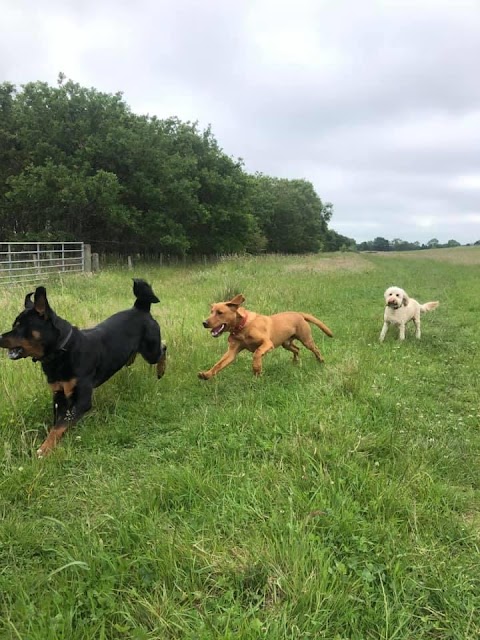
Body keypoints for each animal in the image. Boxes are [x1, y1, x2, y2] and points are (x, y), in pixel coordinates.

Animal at [0, 278, 167, 456]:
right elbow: (58, 423)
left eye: (19, 326)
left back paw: (161, 371)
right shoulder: (58, 395)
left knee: (163, 348)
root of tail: (140, 307)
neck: (61, 352)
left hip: (151, 351)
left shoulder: (82, 399)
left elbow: (59, 426)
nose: (0, 337)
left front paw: (44, 449)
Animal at [199, 296, 334, 380]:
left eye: (220, 312)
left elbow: (257, 353)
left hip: (306, 340)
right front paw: (206, 374)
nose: (204, 323)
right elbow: (218, 365)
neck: (242, 328)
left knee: (315, 349)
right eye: (211, 312)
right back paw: (295, 362)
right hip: (286, 344)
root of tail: (299, 314)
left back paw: (321, 361)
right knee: (297, 349)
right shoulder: (231, 352)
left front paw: (257, 369)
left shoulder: (267, 343)